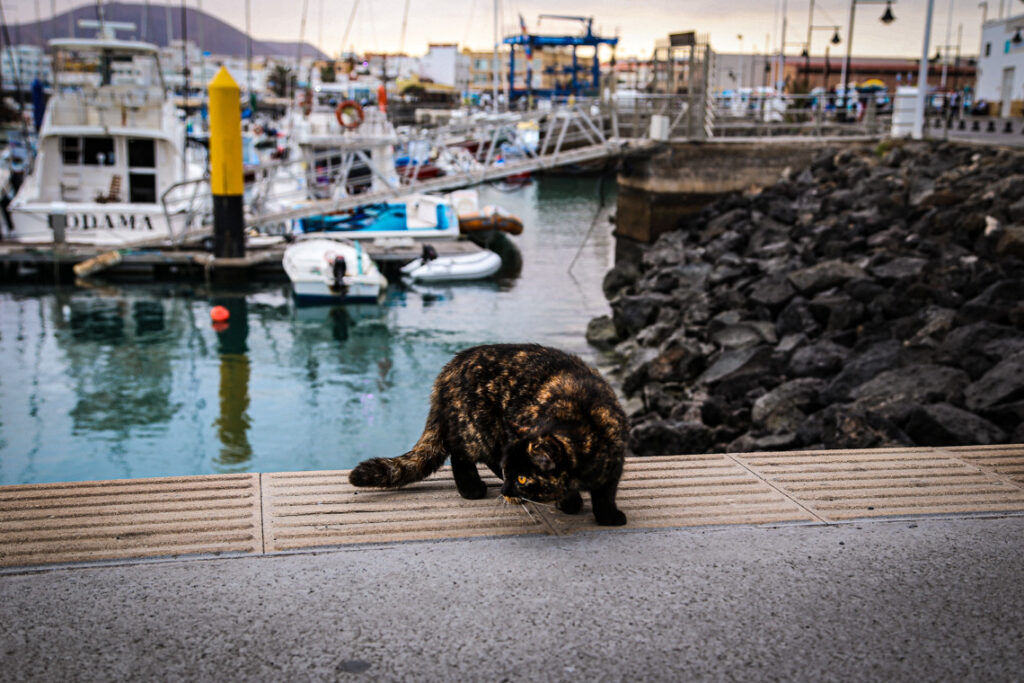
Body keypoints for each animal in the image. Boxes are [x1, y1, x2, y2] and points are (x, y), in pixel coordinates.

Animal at [348, 344, 626, 528]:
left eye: (523, 478)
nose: (507, 489)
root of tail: (449, 368)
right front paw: (571, 505)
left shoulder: (614, 463)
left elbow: (605, 495)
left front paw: (607, 516)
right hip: (476, 429)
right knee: (459, 455)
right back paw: (472, 488)